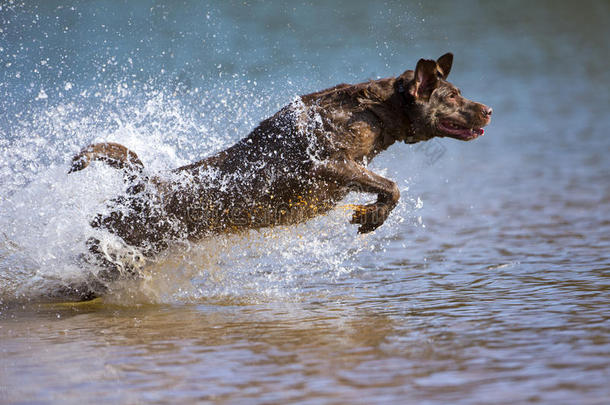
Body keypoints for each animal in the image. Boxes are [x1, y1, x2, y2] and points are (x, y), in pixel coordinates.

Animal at [65, 53, 490, 298]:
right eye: (452, 97)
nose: (488, 110)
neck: (376, 109)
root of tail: (138, 183)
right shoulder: (330, 165)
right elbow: (392, 186)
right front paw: (374, 215)